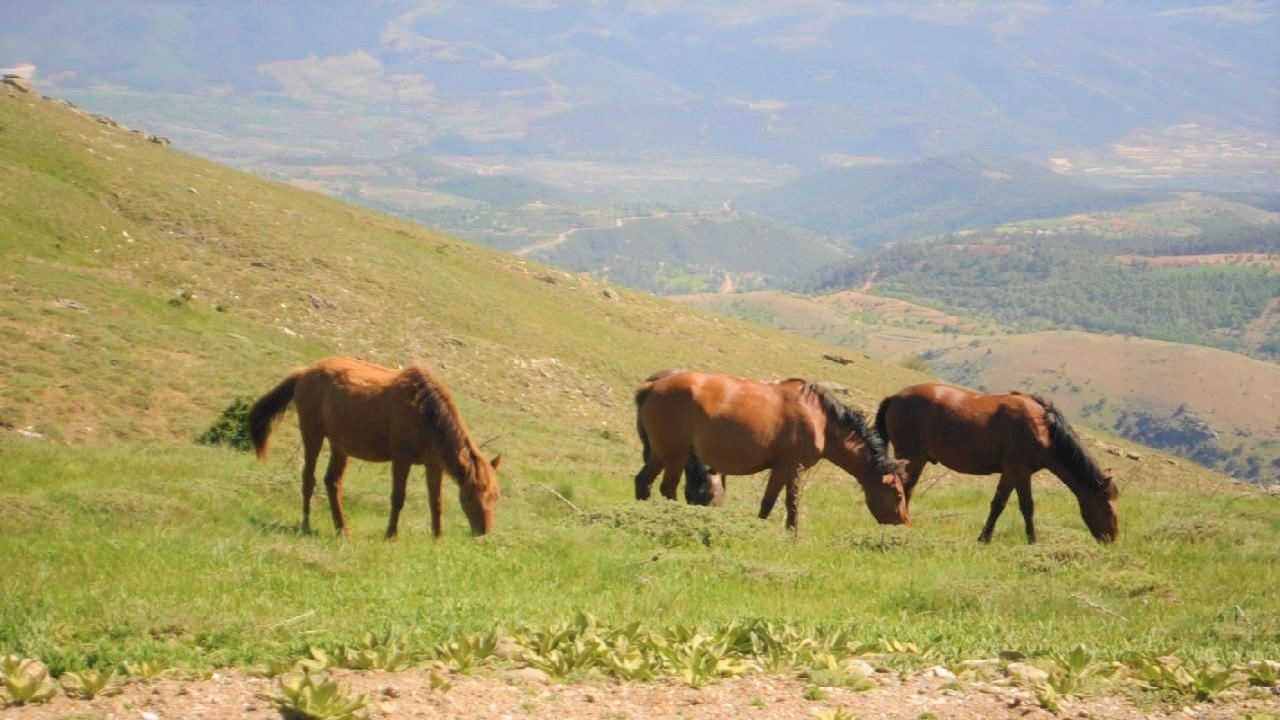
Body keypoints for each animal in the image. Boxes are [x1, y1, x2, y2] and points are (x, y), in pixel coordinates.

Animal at [244, 356, 499, 535]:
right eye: (469, 496)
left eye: (495, 496)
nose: (483, 531)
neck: (424, 412)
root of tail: (304, 372)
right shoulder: (401, 458)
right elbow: (398, 498)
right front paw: (390, 535)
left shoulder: (433, 464)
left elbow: (436, 502)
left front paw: (438, 538)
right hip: (312, 433)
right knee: (309, 478)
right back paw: (306, 525)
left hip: (340, 445)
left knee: (332, 482)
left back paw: (343, 531)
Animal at [629, 368, 911, 527]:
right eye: (898, 495)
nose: (904, 522)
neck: (819, 418)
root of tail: (651, 387)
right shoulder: (788, 467)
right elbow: (774, 502)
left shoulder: (790, 470)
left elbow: (786, 502)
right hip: (674, 456)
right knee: (667, 488)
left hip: (659, 454)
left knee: (643, 482)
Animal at [875, 384, 1116, 540]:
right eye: (1108, 509)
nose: (1112, 539)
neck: (1043, 428)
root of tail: (894, 397)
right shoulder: (1021, 472)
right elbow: (1027, 507)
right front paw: (1033, 540)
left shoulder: (1010, 473)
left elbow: (998, 504)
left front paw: (985, 537)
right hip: (911, 458)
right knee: (904, 489)